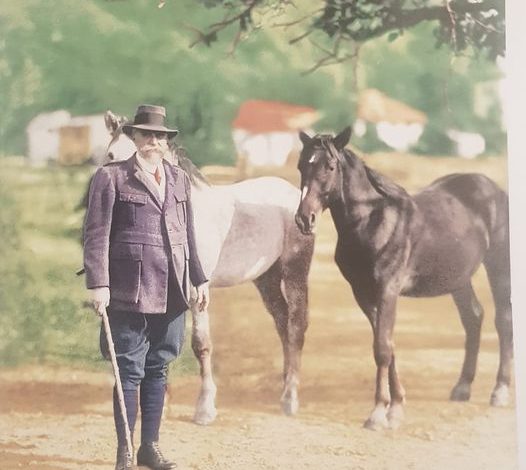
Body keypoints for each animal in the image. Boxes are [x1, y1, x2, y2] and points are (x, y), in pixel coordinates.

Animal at [103, 111, 318, 426]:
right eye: (109, 156)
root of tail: (295, 198)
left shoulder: (196, 294)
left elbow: (200, 344)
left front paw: (204, 409)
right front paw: (161, 405)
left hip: (295, 272)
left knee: (296, 325)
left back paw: (290, 398)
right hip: (266, 278)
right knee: (282, 322)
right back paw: (284, 385)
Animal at [294, 126, 512, 432]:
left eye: (330, 166)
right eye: (302, 165)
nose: (305, 219)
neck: (373, 221)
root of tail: (493, 189)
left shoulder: (387, 290)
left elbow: (382, 348)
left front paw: (377, 414)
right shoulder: (363, 294)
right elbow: (387, 344)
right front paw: (396, 408)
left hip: (499, 268)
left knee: (503, 320)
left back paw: (500, 391)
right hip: (458, 278)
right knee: (473, 317)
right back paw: (462, 387)